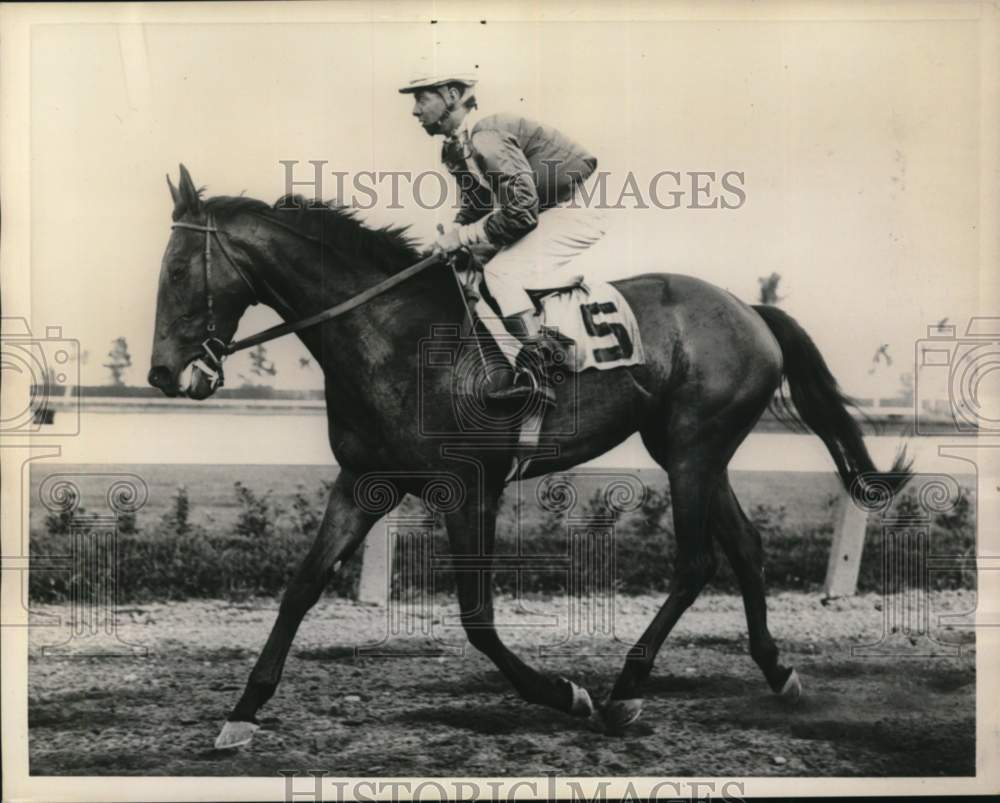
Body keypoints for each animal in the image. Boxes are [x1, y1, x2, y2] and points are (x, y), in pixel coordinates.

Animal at [150, 166, 916, 752]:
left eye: (180, 269)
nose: (163, 375)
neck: (392, 335)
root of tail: (752, 309)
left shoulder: (468, 488)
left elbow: (478, 618)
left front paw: (565, 692)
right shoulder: (365, 482)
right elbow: (302, 587)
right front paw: (242, 713)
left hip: (693, 450)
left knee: (697, 562)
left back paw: (624, 690)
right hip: (692, 449)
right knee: (747, 549)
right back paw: (779, 674)